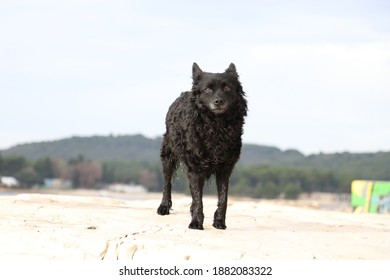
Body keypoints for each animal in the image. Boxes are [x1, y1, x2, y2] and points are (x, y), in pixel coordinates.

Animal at [158, 62, 247, 229]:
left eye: (227, 88)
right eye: (208, 89)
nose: (219, 101)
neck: (217, 125)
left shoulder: (225, 169)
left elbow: (223, 199)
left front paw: (219, 222)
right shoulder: (195, 168)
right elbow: (198, 199)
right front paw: (196, 223)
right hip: (168, 155)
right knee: (167, 183)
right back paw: (164, 206)